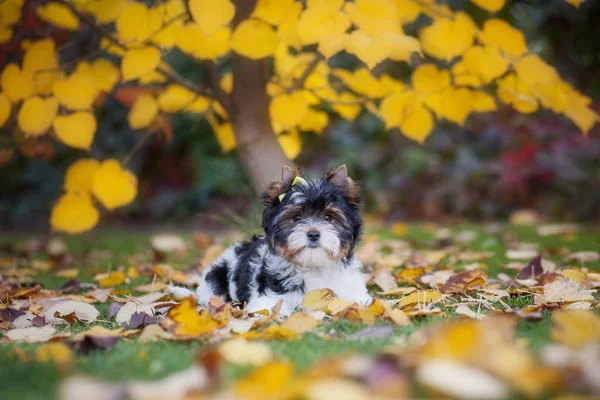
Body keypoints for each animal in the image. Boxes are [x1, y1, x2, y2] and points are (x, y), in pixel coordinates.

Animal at [193, 164, 370, 318]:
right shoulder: (267, 298)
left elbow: (359, 301)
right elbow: (267, 309)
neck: (314, 266)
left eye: (328, 217)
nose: (313, 234)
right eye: (296, 217)